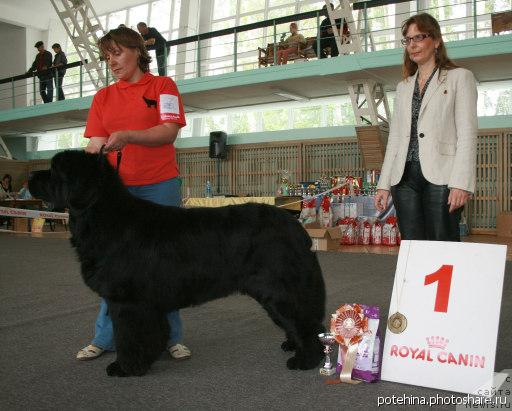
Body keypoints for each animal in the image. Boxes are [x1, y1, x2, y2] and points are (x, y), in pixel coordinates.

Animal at [29, 150, 324, 376]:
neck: (103, 216)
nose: (31, 176)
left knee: (303, 321)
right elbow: (151, 333)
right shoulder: (146, 303)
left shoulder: (128, 302)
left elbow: (129, 336)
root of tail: (295, 225)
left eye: (54, 171)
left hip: (279, 288)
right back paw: (293, 346)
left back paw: (306, 359)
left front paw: (125, 367)